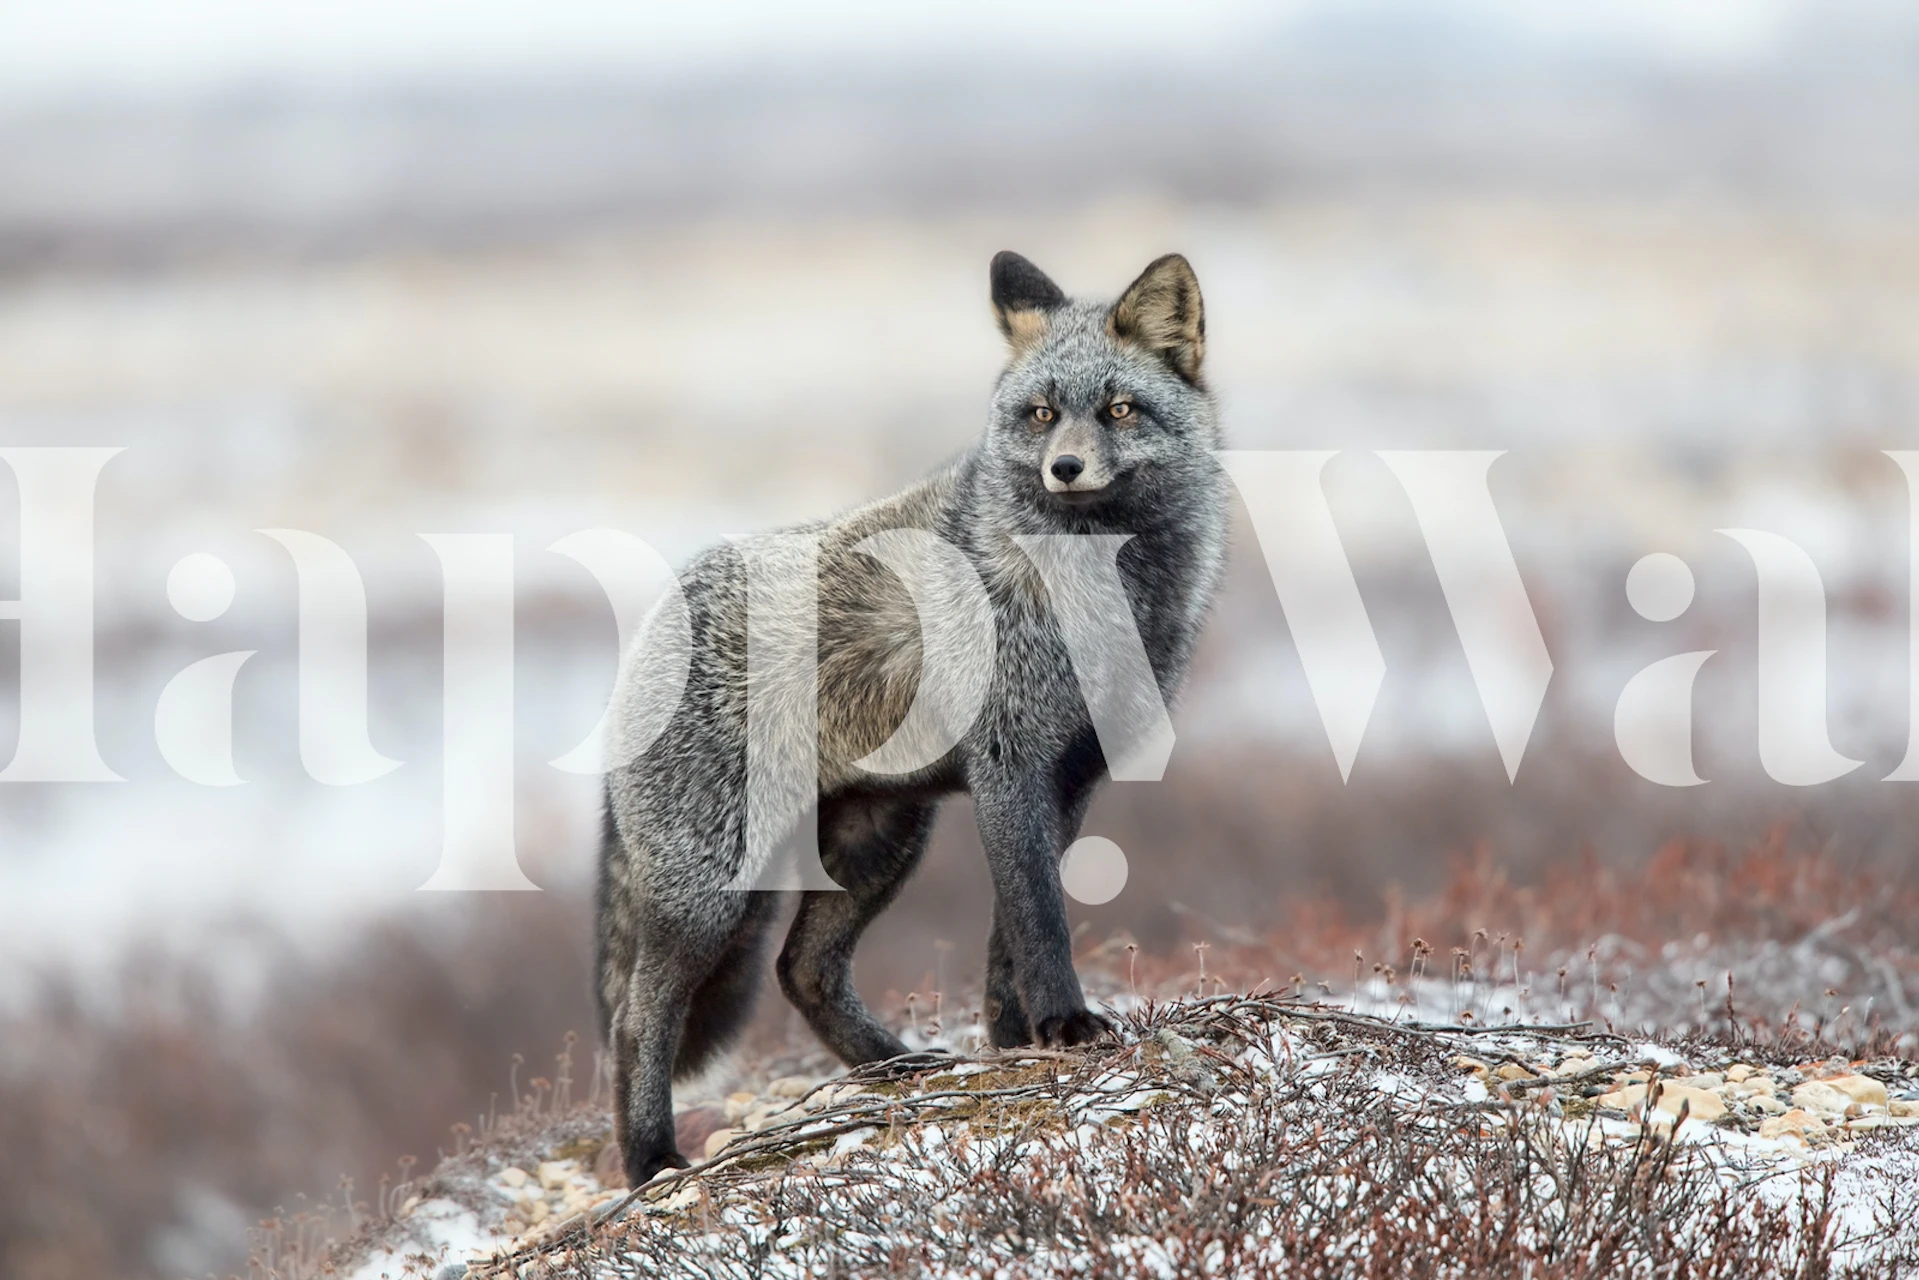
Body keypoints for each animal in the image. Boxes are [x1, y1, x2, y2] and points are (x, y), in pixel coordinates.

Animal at [595, 251, 1228, 1186]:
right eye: (1041, 415)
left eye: (1118, 409)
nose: (1064, 470)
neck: (1096, 594)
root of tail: (660, 612)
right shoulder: (1010, 763)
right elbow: (1040, 918)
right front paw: (1064, 1026)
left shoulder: (1071, 776)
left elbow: (1010, 935)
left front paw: (1018, 1042)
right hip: (715, 891)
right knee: (636, 1021)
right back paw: (651, 1162)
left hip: (879, 847)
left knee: (800, 972)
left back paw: (895, 1068)